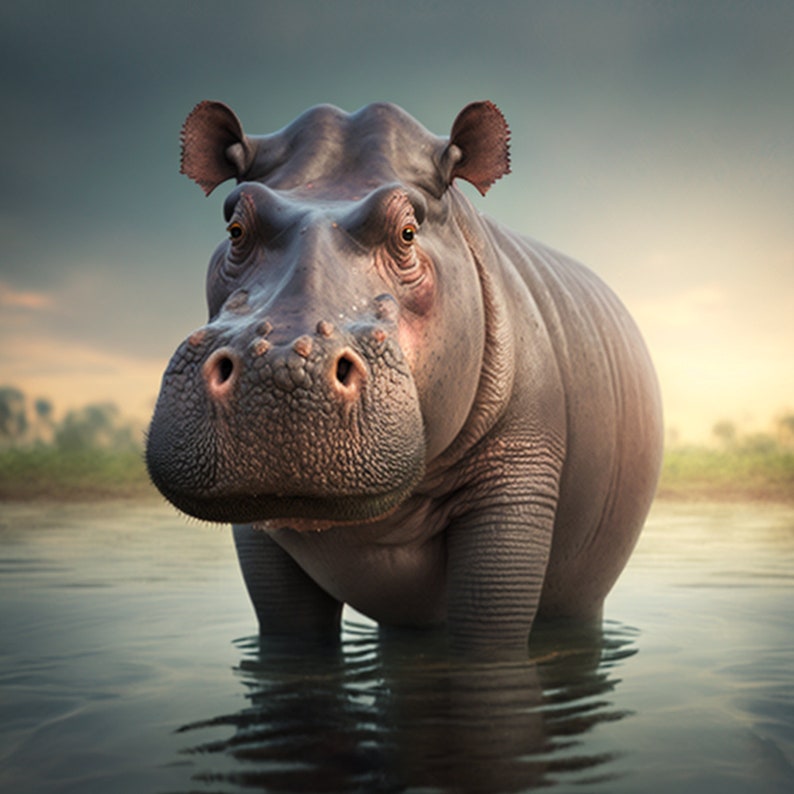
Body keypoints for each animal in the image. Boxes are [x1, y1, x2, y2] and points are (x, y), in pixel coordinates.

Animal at [146, 100, 663, 652]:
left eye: (409, 231)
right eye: (235, 227)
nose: (280, 366)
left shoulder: (518, 478)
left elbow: (488, 628)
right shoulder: (256, 532)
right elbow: (289, 631)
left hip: (584, 590)